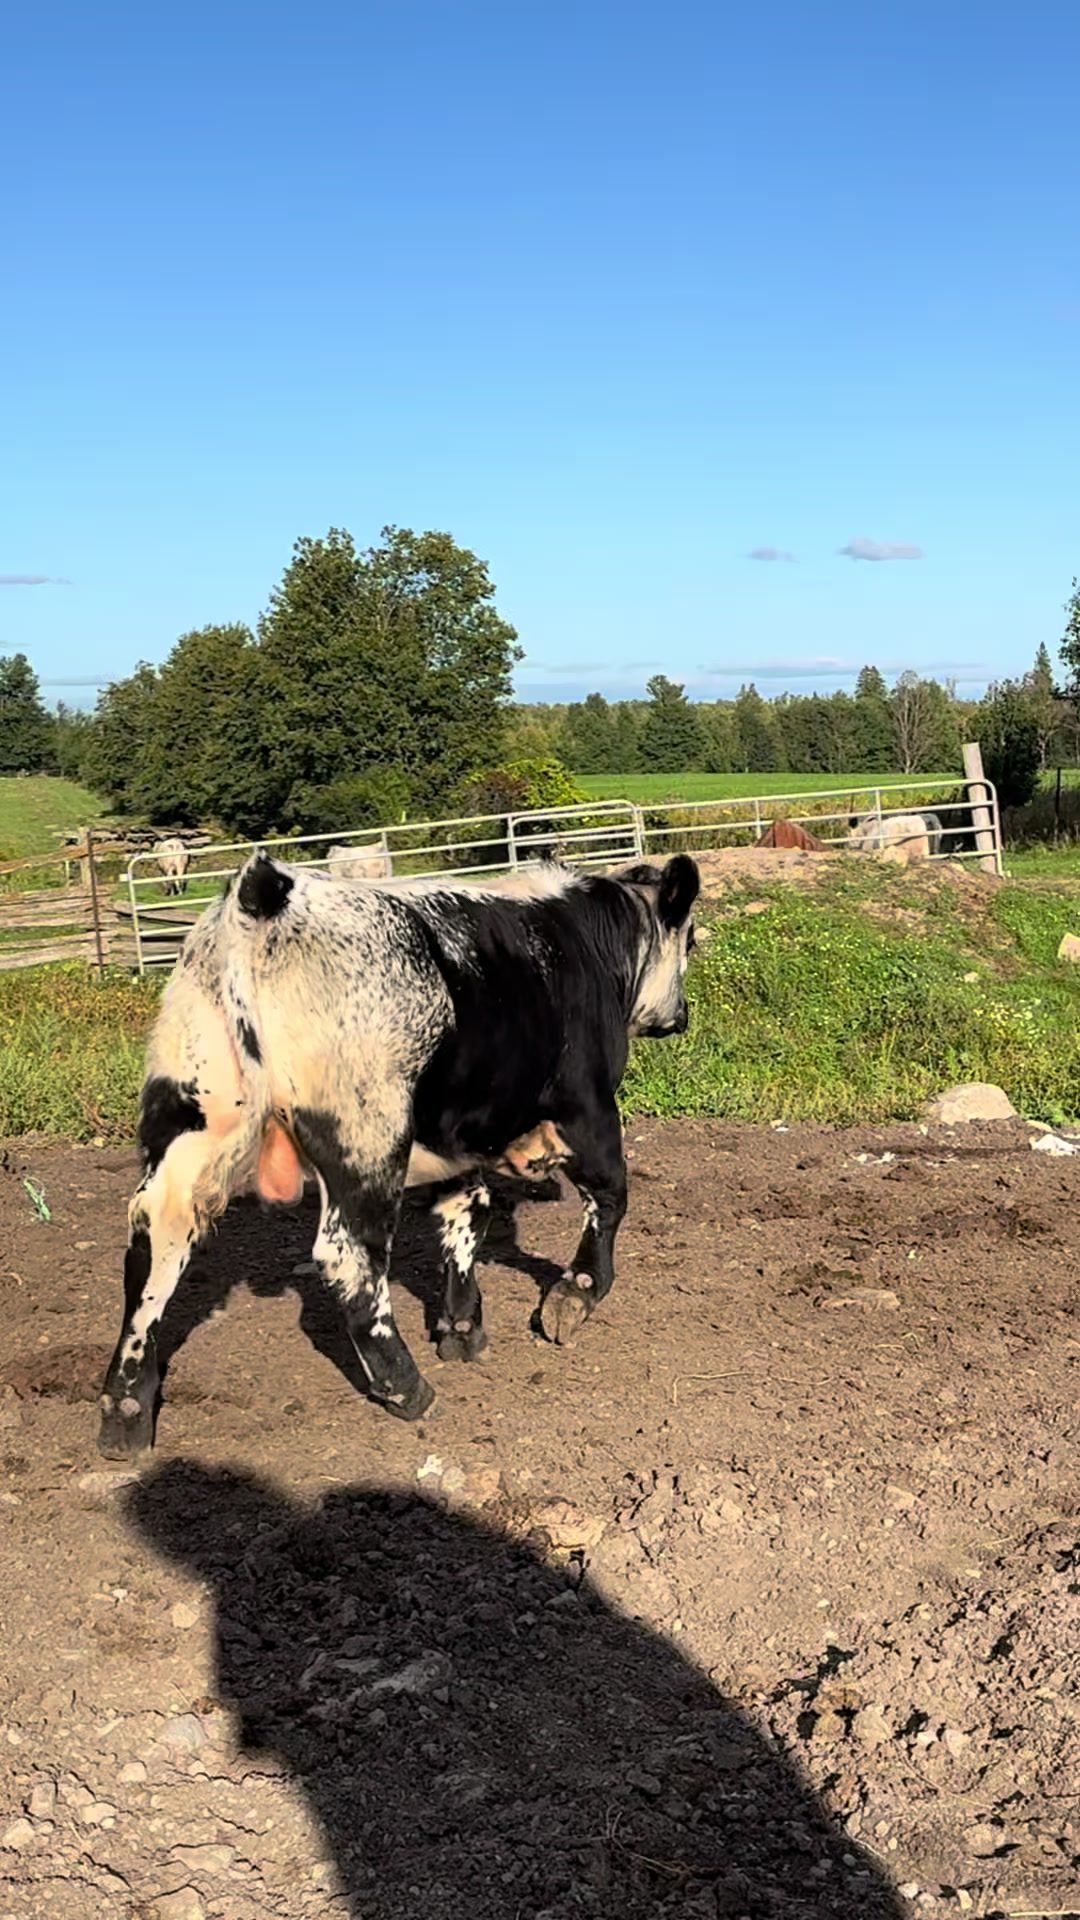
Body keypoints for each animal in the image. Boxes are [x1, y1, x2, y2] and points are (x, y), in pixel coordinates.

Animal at [97, 851, 700, 1459]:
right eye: (692, 940)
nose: (682, 1015)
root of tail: (266, 889)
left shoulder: (459, 1140)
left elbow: (467, 1215)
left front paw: (462, 1326)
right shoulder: (586, 1108)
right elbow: (609, 1195)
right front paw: (575, 1294)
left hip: (192, 1119)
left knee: (157, 1240)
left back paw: (126, 1409)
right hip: (367, 1137)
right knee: (348, 1256)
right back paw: (406, 1386)